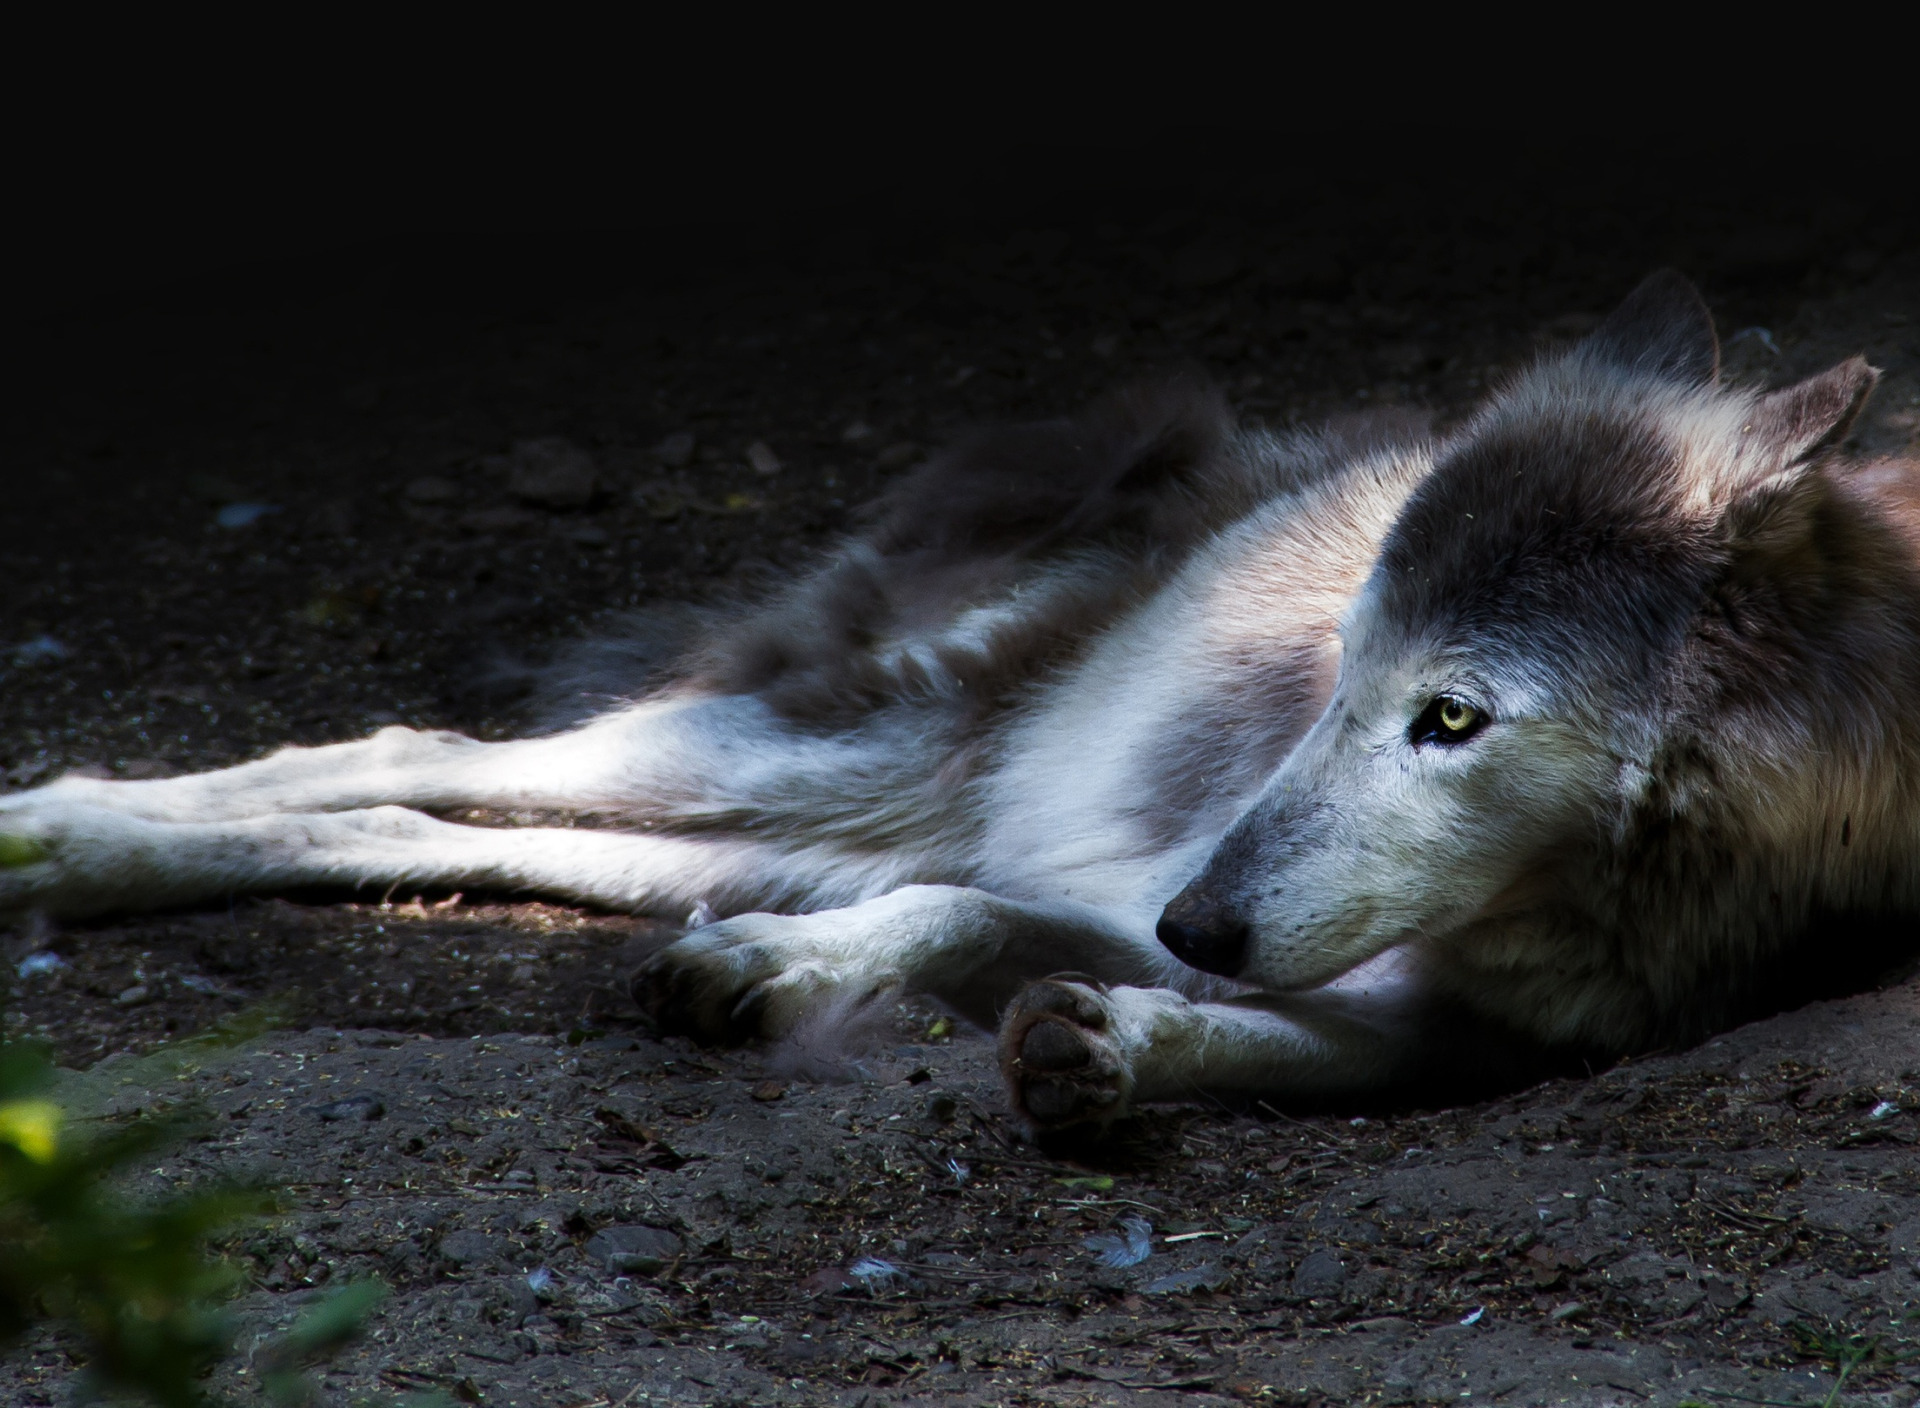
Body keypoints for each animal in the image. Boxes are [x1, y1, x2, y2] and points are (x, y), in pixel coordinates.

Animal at [7, 274, 1912, 1129]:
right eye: (1339, 680)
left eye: (1452, 717)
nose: (1197, 922)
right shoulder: (1128, 888)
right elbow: (956, 913)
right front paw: (796, 987)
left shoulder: (1472, 1036)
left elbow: (1138, 994)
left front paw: (1111, 1045)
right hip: (825, 754)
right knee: (413, 752)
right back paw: (59, 831)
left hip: (783, 820)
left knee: (442, 822)